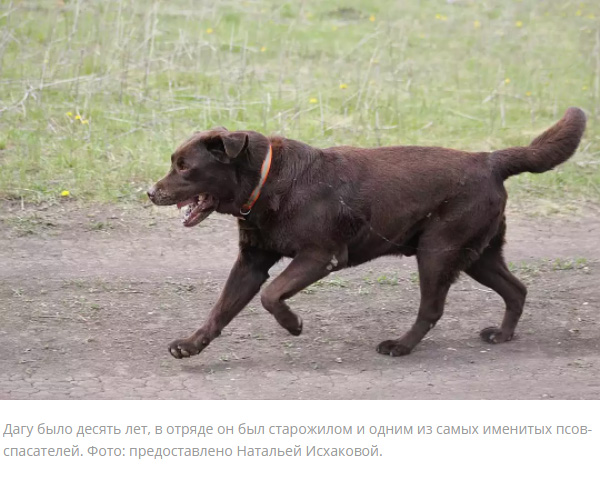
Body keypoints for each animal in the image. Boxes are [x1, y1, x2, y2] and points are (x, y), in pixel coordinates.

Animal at [149, 108, 584, 360]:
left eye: (184, 166)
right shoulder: (251, 262)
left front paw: (293, 324)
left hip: (438, 250)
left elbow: (272, 295)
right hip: (478, 253)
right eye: (174, 162)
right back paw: (504, 335)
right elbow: (221, 309)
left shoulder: (320, 255)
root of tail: (489, 160)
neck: (266, 179)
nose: (151, 192)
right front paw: (191, 344)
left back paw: (401, 346)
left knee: (433, 309)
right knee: (517, 289)